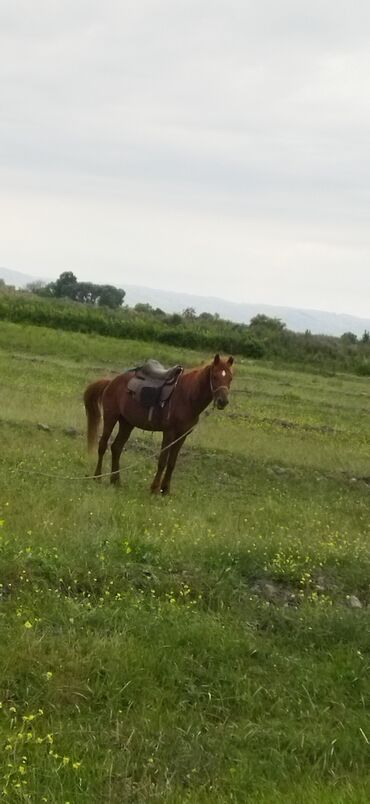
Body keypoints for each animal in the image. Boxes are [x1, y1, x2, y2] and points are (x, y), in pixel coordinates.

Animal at [84, 354, 234, 494]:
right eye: (214, 376)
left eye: (230, 378)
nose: (223, 401)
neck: (187, 396)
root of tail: (111, 382)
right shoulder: (169, 433)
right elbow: (162, 461)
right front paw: (155, 489)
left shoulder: (182, 435)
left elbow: (172, 463)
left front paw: (165, 490)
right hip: (111, 417)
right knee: (103, 445)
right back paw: (97, 477)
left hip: (127, 423)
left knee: (116, 448)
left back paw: (116, 481)